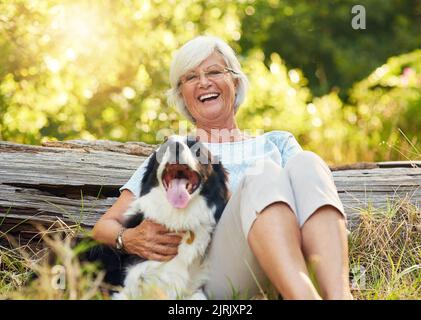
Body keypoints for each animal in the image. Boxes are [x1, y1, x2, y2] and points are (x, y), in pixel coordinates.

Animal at [106, 136, 230, 300]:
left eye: (196, 148)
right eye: (164, 147)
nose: (175, 146)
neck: (179, 217)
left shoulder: (193, 289)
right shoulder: (124, 288)